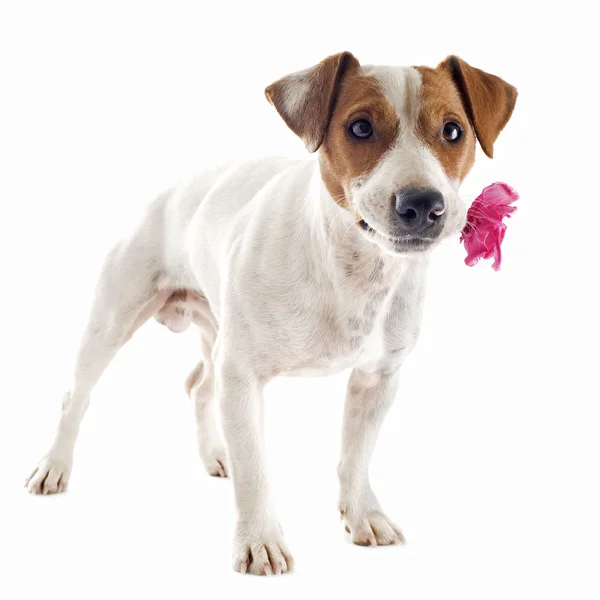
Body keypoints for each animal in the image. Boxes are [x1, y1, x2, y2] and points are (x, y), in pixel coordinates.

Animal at [25, 54, 516, 576]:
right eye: (360, 127)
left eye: (453, 131)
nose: (422, 203)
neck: (348, 263)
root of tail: (173, 189)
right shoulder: (242, 375)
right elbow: (255, 468)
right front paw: (259, 541)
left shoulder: (377, 378)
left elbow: (356, 456)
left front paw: (362, 514)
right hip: (112, 321)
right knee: (76, 397)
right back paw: (53, 467)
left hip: (215, 332)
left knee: (198, 385)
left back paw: (215, 453)